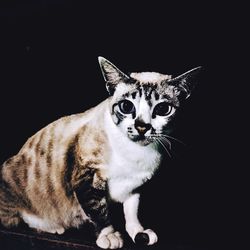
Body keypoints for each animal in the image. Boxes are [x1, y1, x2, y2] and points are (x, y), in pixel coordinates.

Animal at [0, 57, 200, 248]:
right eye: (127, 107)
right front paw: (109, 236)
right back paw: (54, 226)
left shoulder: (135, 185)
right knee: (19, 218)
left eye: (163, 109)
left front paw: (139, 233)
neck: (135, 155)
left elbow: (132, 211)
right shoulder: (87, 177)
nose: (142, 127)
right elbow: (98, 210)